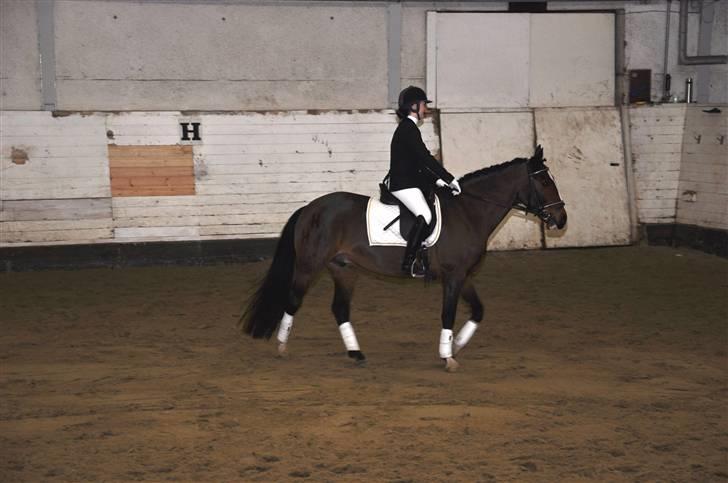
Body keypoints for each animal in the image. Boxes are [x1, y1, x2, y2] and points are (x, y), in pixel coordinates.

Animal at [242, 146, 564, 372]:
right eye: (544, 182)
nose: (562, 219)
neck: (468, 212)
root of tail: (310, 208)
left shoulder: (463, 276)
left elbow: (478, 310)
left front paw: (457, 345)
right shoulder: (453, 276)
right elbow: (448, 314)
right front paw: (448, 356)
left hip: (343, 268)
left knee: (340, 308)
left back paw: (356, 353)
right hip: (310, 266)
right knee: (293, 299)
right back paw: (282, 347)